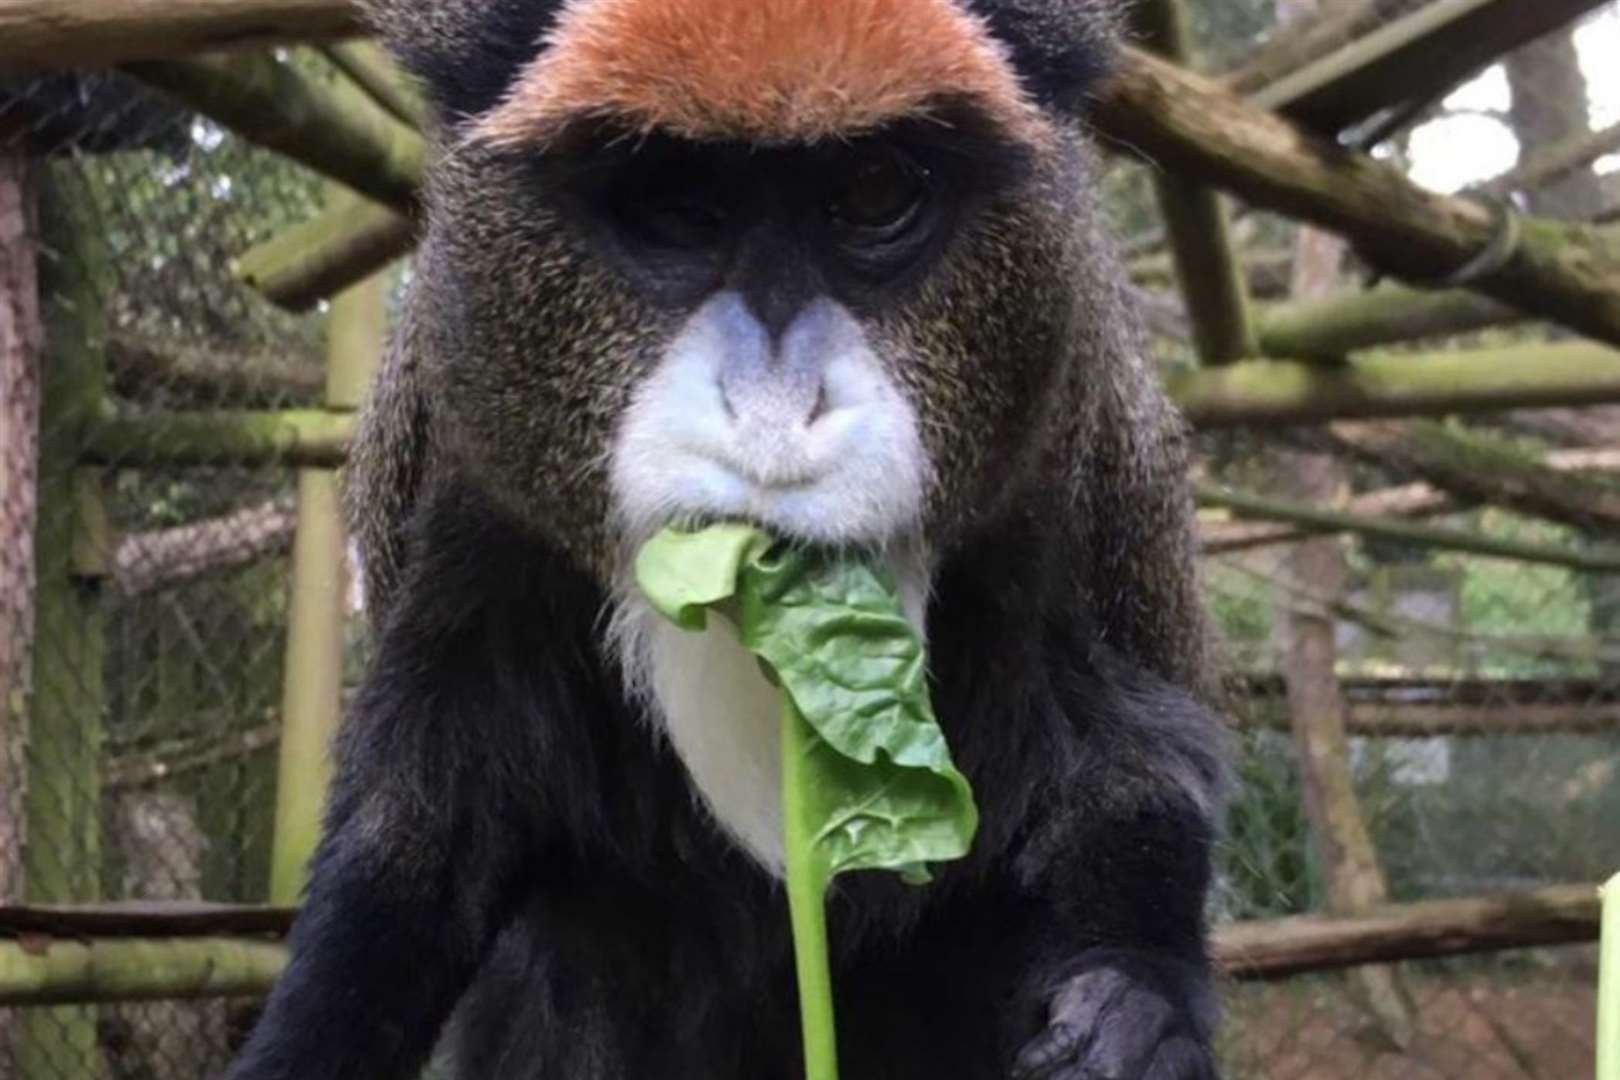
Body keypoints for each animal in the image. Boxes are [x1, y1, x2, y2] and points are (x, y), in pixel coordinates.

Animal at [225, 2, 1224, 1080]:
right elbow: (414, 837)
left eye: (874, 190)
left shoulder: (1055, 446)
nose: (774, 409)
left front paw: (1131, 1007)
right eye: (675, 198)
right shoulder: (468, 488)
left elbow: (1128, 773)